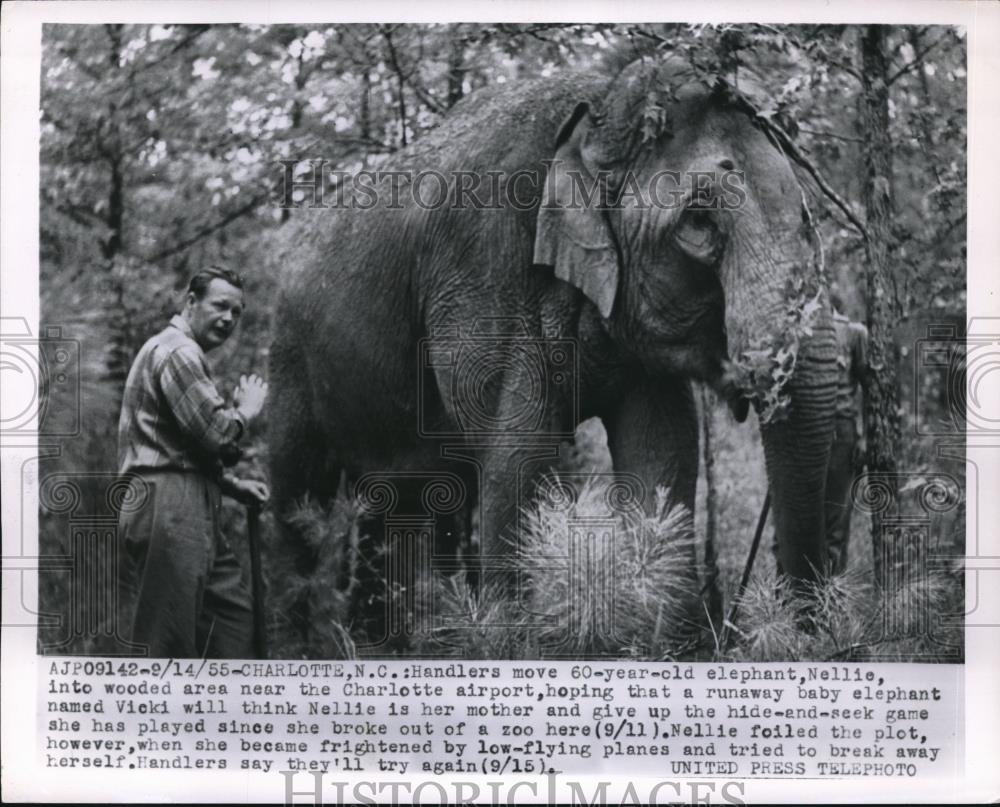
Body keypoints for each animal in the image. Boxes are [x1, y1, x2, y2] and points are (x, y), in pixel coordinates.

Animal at [270, 53, 840, 640]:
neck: (597, 109)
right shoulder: (483, 276)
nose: (805, 625)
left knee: (400, 503)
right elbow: (515, 461)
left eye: (806, 211)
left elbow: (663, 451)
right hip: (289, 355)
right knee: (297, 495)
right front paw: (514, 639)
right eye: (699, 223)